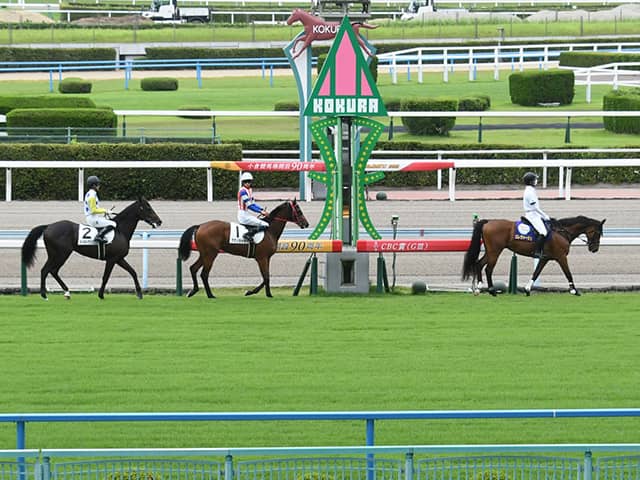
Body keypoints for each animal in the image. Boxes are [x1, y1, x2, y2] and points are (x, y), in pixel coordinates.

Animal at [21, 197, 162, 300]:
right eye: (148, 208)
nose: (159, 221)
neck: (120, 230)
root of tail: (48, 226)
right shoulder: (112, 259)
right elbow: (106, 277)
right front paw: (101, 295)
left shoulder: (119, 258)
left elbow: (133, 272)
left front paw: (139, 294)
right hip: (60, 254)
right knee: (46, 270)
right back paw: (44, 295)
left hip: (57, 254)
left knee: (52, 271)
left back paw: (67, 292)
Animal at [178, 199, 309, 298]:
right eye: (298, 210)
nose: (306, 224)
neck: (269, 230)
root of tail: (200, 226)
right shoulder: (262, 258)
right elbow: (266, 276)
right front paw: (266, 294)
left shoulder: (266, 258)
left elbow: (266, 276)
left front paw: (253, 292)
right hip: (210, 254)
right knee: (204, 274)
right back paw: (210, 295)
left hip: (204, 254)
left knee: (193, 268)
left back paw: (193, 291)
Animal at [462, 215, 606, 297]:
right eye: (598, 233)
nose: (594, 248)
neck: (561, 232)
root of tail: (487, 222)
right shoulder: (561, 257)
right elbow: (568, 273)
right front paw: (574, 291)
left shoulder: (544, 258)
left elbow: (536, 272)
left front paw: (527, 289)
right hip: (495, 251)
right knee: (488, 269)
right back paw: (491, 291)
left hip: (490, 251)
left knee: (479, 264)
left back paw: (479, 288)